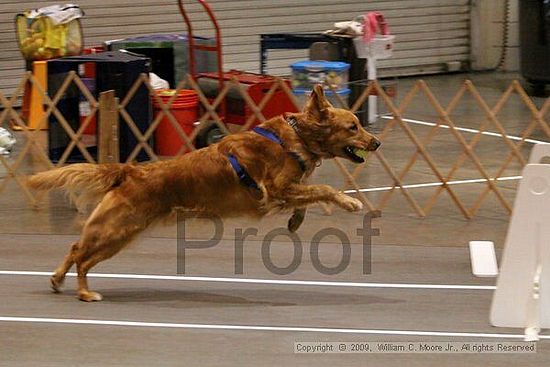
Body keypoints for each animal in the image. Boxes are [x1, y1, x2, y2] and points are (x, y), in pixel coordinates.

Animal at [28, 85, 382, 302]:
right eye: (352, 127)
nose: (376, 142)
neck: (295, 137)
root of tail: (131, 170)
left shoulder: (286, 190)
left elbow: (310, 194)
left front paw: (296, 220)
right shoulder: (275, 188)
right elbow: (324, 188)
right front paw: (350, 201)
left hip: (116, 229)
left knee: (75, 248)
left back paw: (57, 280)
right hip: (119, 230)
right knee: (82, 257)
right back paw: (85, 292)